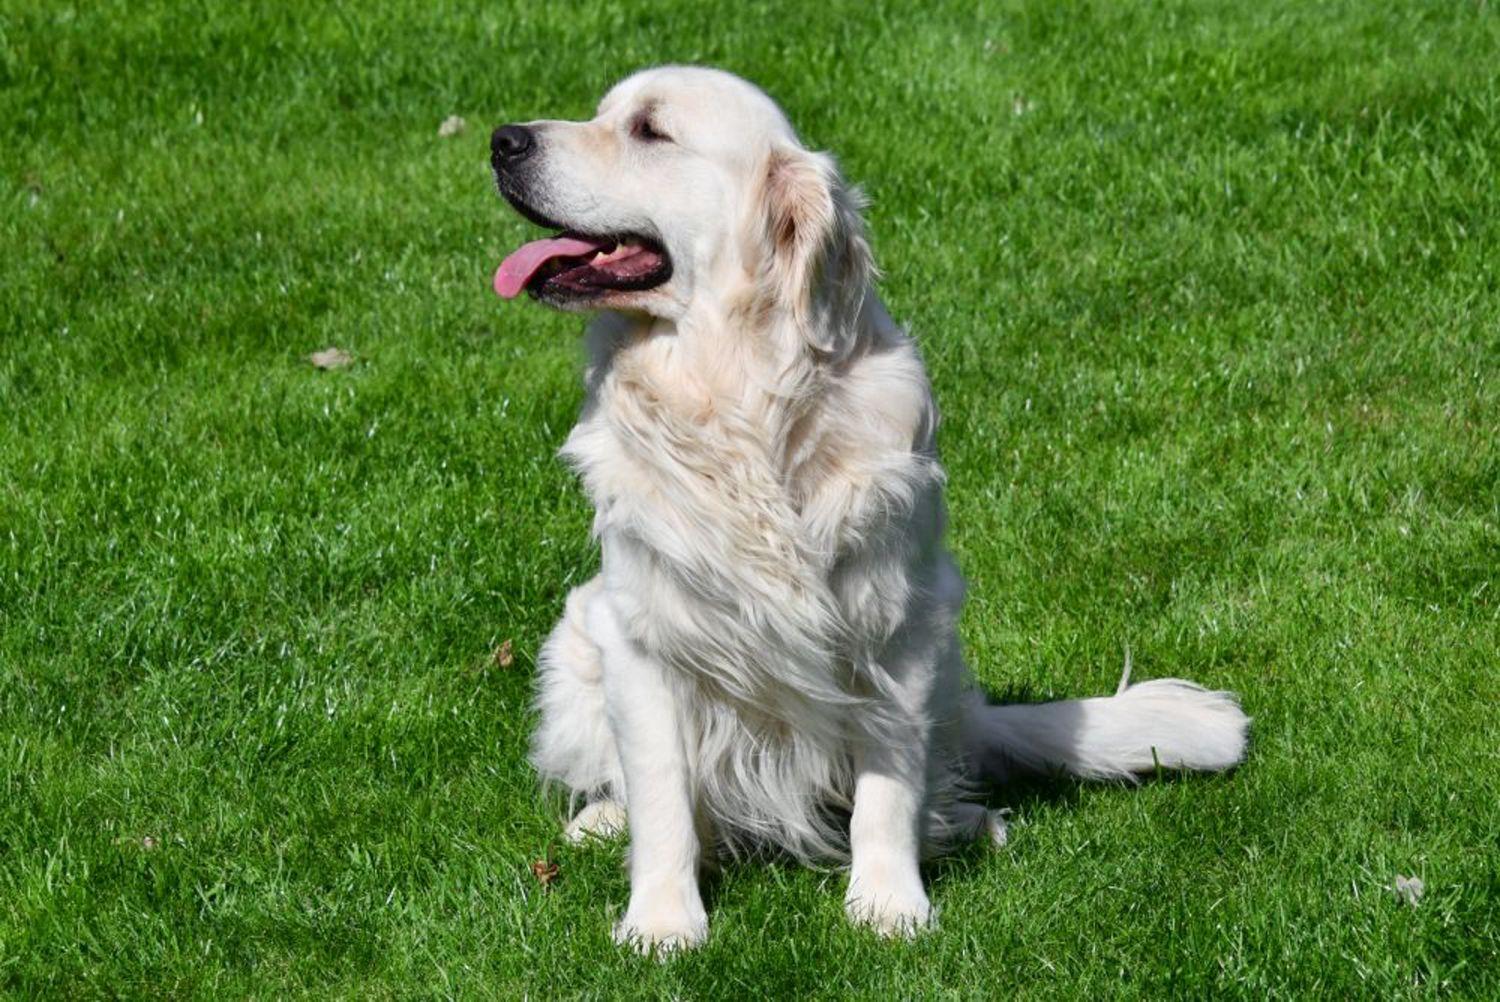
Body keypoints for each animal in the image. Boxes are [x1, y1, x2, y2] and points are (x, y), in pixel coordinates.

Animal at [486, 66, 1248, 954]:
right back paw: (603, 820)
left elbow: (888, 786)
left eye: (649, 130)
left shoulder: (899, 623)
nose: (502, 139)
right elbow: (664, 794)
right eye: (605, 111)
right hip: (577, 638)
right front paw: (664, 922)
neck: (736, 392)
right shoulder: (640, 632)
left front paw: (889, 903)